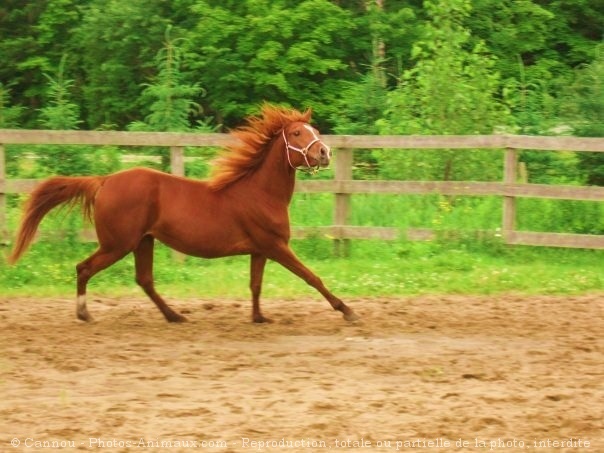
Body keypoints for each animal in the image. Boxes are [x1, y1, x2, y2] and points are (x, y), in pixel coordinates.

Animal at [8, 105, 358, 324]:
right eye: (297, 133)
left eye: (313, 129)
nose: (324, 152)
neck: (259, 193)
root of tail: (104, 181)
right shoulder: (275, 246)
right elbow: (312, 277)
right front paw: (347, 310)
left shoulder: (260, 250)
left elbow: (255, 285)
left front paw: (259, 317)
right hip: (118, 244)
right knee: (84, 268)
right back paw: (85, 314)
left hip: (143, 241)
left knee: (144, 279)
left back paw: (174, 315)